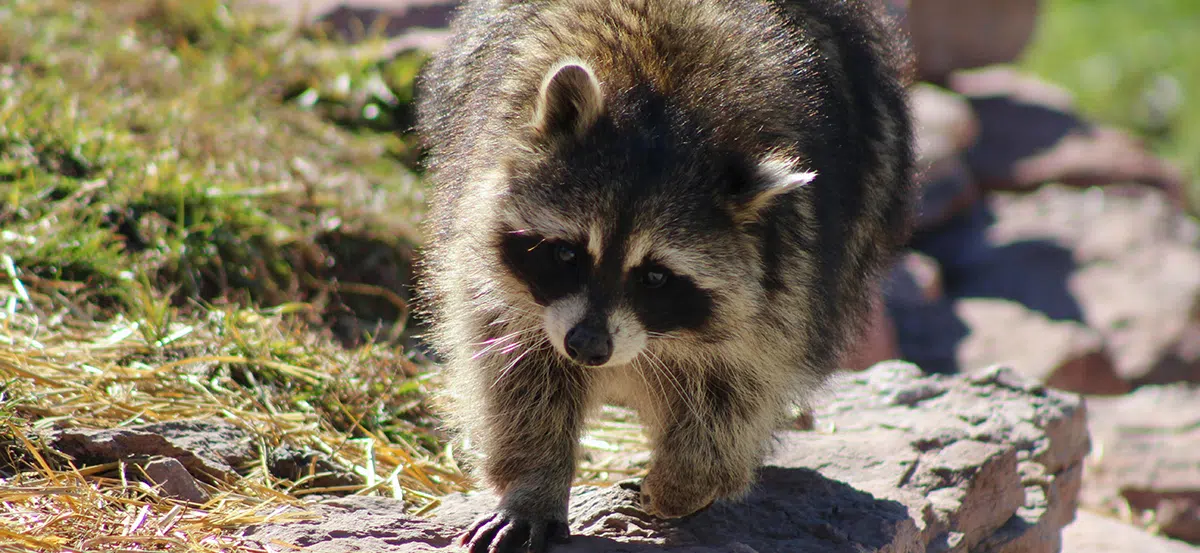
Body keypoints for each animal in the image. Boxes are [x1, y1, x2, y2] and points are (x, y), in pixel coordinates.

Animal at [414, 0, 914, 550]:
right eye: (567, 253)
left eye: (654, 277)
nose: (587, 347)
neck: (662, 98)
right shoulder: (490, 255)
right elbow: (515, 367)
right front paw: (533, 482)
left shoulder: (793, 257)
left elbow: (743, 378)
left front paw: (687, 481)